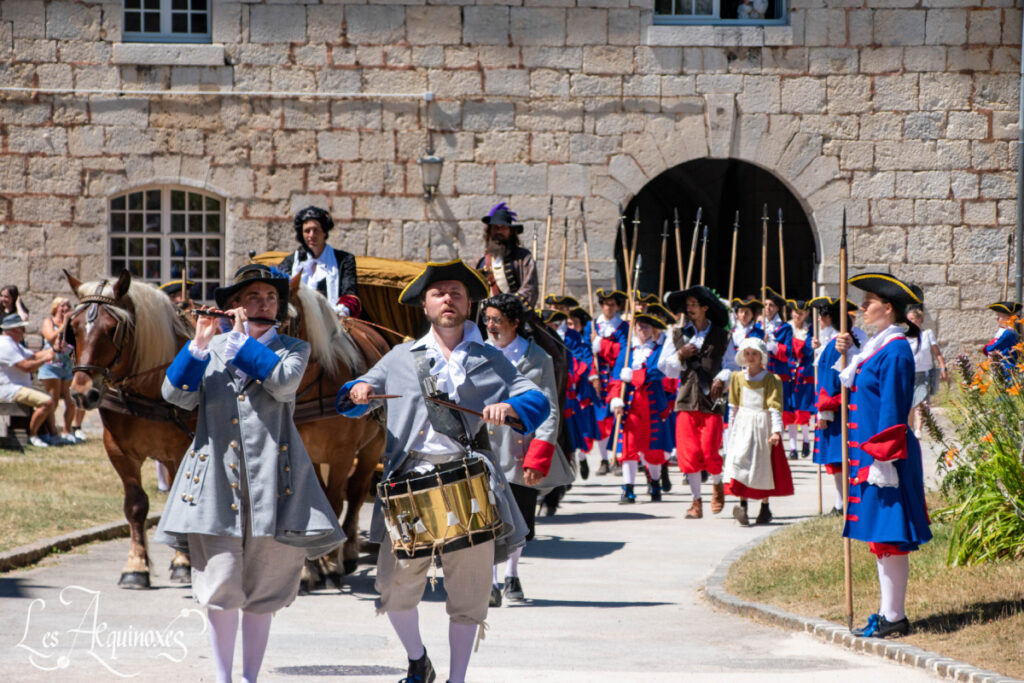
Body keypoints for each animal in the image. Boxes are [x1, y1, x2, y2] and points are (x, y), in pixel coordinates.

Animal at [63, 269, 195, 589]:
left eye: (113, 329)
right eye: (73, 328)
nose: (82, 394)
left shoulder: (184, 449)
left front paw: (184, 563)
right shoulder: (119, 450)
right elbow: (136, 506)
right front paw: (136, 567)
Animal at [287, 279, 389, 590]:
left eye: (291, 319)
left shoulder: (343, 454)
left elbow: (334, 502)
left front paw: (331, 565)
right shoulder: (305, 453)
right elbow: (313, 507)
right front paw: (310, 569)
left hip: (372, 448)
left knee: (356, 492)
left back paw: (350, 552)